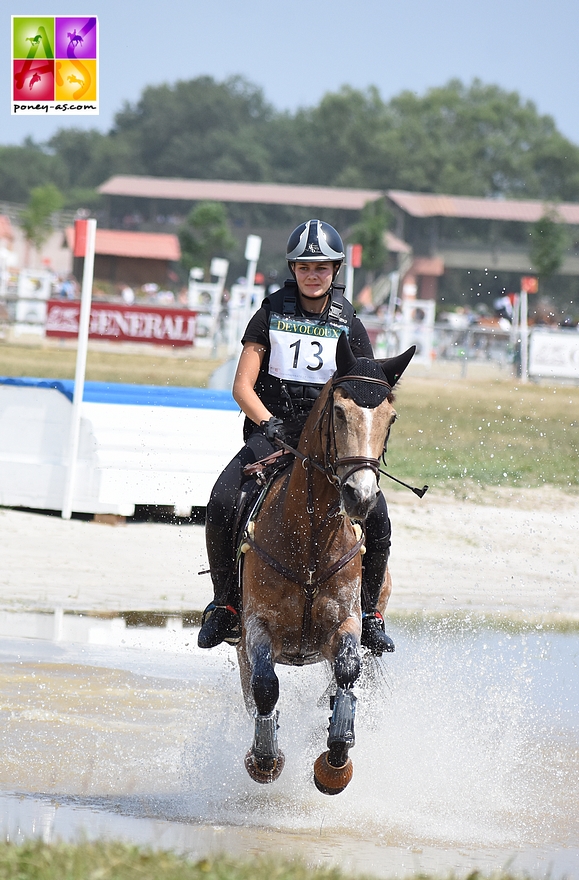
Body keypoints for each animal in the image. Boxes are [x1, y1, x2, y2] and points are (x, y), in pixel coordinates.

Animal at [236, 334, 416, 796]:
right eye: (338, 411)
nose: (361, 496)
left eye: (390, 418)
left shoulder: (346, 621)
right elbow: (265, 687)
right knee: (251, 688)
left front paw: (335, 760)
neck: (312, 539)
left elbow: (348, 670)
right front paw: (264, 758)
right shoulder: (257, 625)